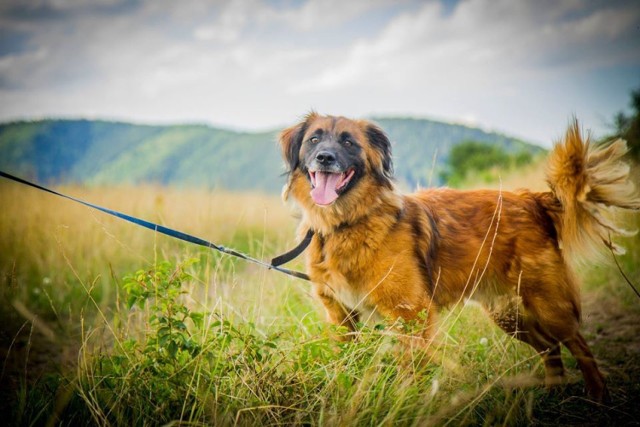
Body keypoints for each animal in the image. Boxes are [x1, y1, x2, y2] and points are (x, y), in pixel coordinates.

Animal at [280, 112, 640, 402]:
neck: (345, 224)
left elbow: (411, 368)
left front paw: (408, 401)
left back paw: (598, 394)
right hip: (508, 315)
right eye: (314, 139)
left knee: (577, 343)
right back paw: (553, 391)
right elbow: (349, 362)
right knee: (549, 347)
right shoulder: (342, 318)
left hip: (548, 305)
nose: (324, 157)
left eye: (349, 142)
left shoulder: (411, 315)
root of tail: (532, 199)